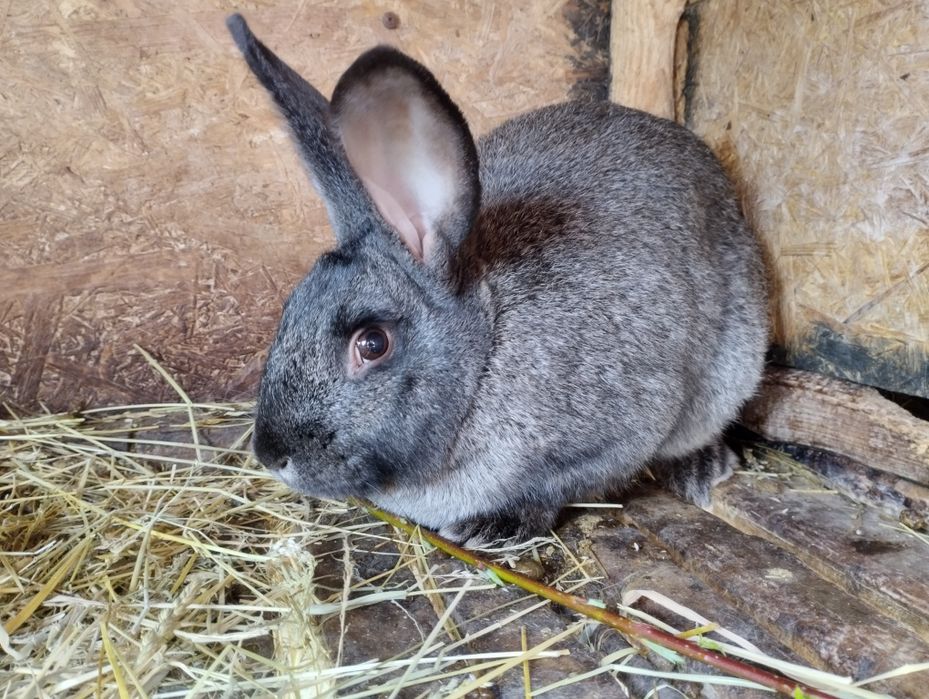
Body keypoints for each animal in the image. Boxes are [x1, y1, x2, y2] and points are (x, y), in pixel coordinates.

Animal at [227, 13, 768, 546]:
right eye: (289, 308)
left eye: (373, 343)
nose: (270, 455)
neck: (487, 354)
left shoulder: (624, 429)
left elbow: (564, 485)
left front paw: (495, 526)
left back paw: (702, 467)